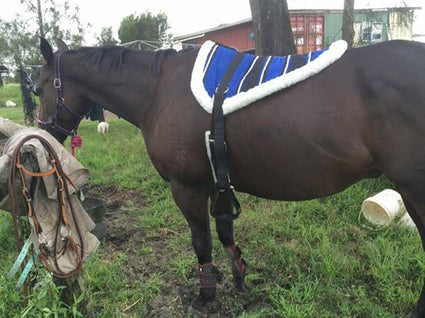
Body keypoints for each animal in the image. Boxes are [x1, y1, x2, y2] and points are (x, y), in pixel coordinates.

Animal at [35, 38, 424, 318]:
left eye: (38, 89)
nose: (42, 131)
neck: (158, 90)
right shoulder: (216, 183)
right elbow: (225, 234)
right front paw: (238, 278)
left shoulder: (187, 188)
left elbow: (202, 242)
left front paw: (206, 294)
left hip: (414, 190)